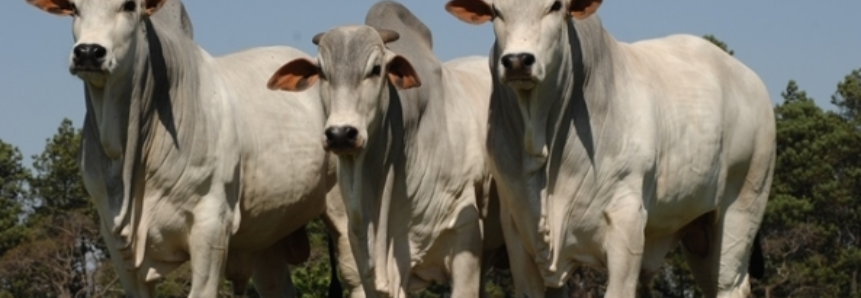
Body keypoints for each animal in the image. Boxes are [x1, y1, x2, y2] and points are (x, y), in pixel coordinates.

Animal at [25, 0, 352, 296]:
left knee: (354, 276)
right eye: (73, 8)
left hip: (342, 207)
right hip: (266, 232)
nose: (88, 52)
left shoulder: (211, 223)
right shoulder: (114, 236)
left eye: (129, 5)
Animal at [446, 0, 776, 296]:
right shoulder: (518, 231)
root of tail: (750, 80)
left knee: (729, 283)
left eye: (555, 6)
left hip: (742, 208)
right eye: (495, 10)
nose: (517, 61)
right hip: (700, 231)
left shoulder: (626, 224)